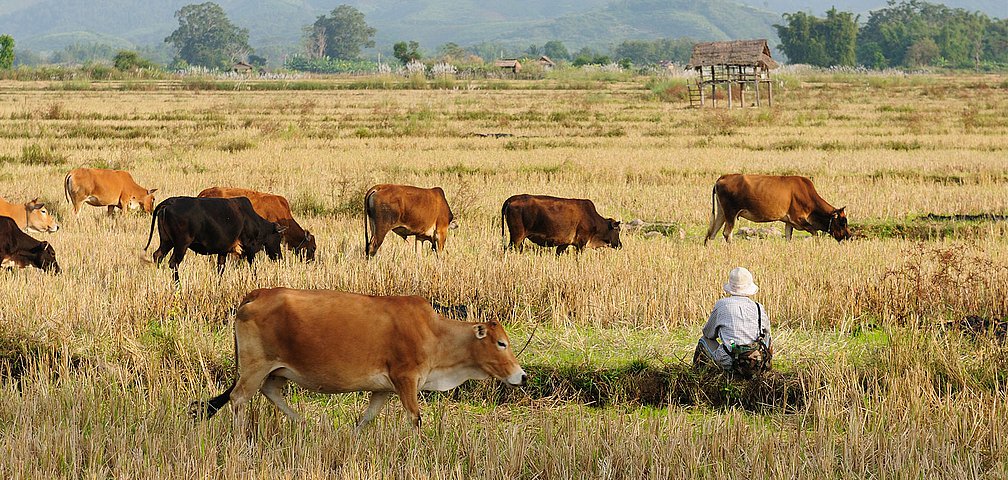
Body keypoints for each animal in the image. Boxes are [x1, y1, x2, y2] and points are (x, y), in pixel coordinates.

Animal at [144, 195, 284, 282]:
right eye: (278, 238)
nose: (280, 258)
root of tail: (169, 202)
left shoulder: (223, 251)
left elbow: (220, 269)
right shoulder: (249, 247)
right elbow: (253, 268)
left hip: (166, 241)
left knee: (158, 255)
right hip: (181, 245)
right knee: (173, 263)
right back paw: (178, 286)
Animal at [191, 288, 532, 431]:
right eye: (501, 343)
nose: (522, 376)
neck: (434, 332)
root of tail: (256, 294)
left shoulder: (383, 389)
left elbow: (365, 419)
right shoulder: (406, 380)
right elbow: (416, 418)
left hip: (274, 370)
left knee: (270, 392)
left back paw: (306, 425)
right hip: (255, 367)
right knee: (238, 399)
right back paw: (240, 439)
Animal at [705, 173, 854, 244]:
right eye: (842, 222)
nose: (849, 236)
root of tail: (723, 177)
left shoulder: (789, 222)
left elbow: (788, 237)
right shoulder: (798, 219)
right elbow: (815, 233)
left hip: (722, 213)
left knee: (711, 233)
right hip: (731, 213)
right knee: (726, 233)